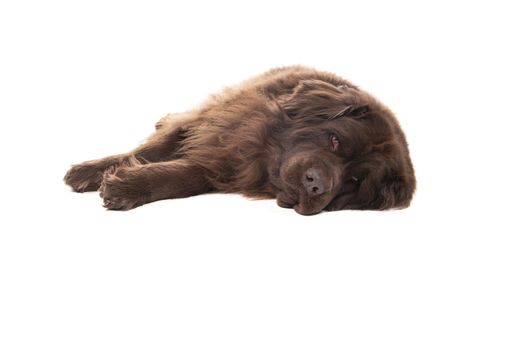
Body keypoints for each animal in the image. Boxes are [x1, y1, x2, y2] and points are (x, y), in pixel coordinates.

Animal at [63, 65, 416, 213]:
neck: (262, 154)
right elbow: (154, 148)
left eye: (354, 181)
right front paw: (87, 172)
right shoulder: (218, 125)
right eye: (334, 140)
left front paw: (127, 186)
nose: (316, 185)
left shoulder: (221, 165)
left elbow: (181, 176)